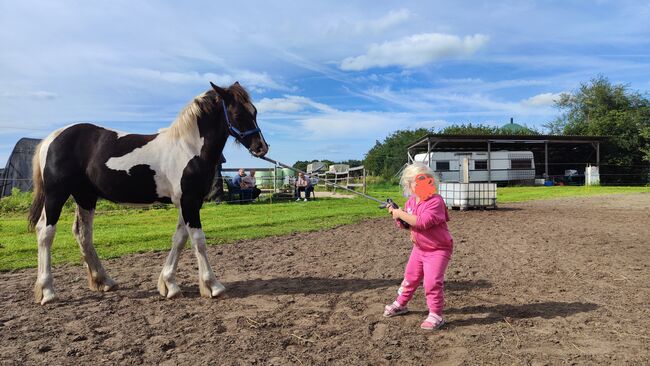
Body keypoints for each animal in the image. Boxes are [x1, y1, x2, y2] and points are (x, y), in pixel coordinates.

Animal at [29, 83, 268, 306]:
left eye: (254, 111)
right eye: (238, 114)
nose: (261, 147)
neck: (187, 148)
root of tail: (51, 139)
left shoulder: (187, 202)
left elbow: (179, 239)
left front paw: (169, 284)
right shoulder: (189, 201)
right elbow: (198, 240)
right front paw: (213, 285)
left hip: (85, 197)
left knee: (83, 234)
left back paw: (104, 281)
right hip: (56, 195)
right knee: (45, 232)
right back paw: (47, 291)